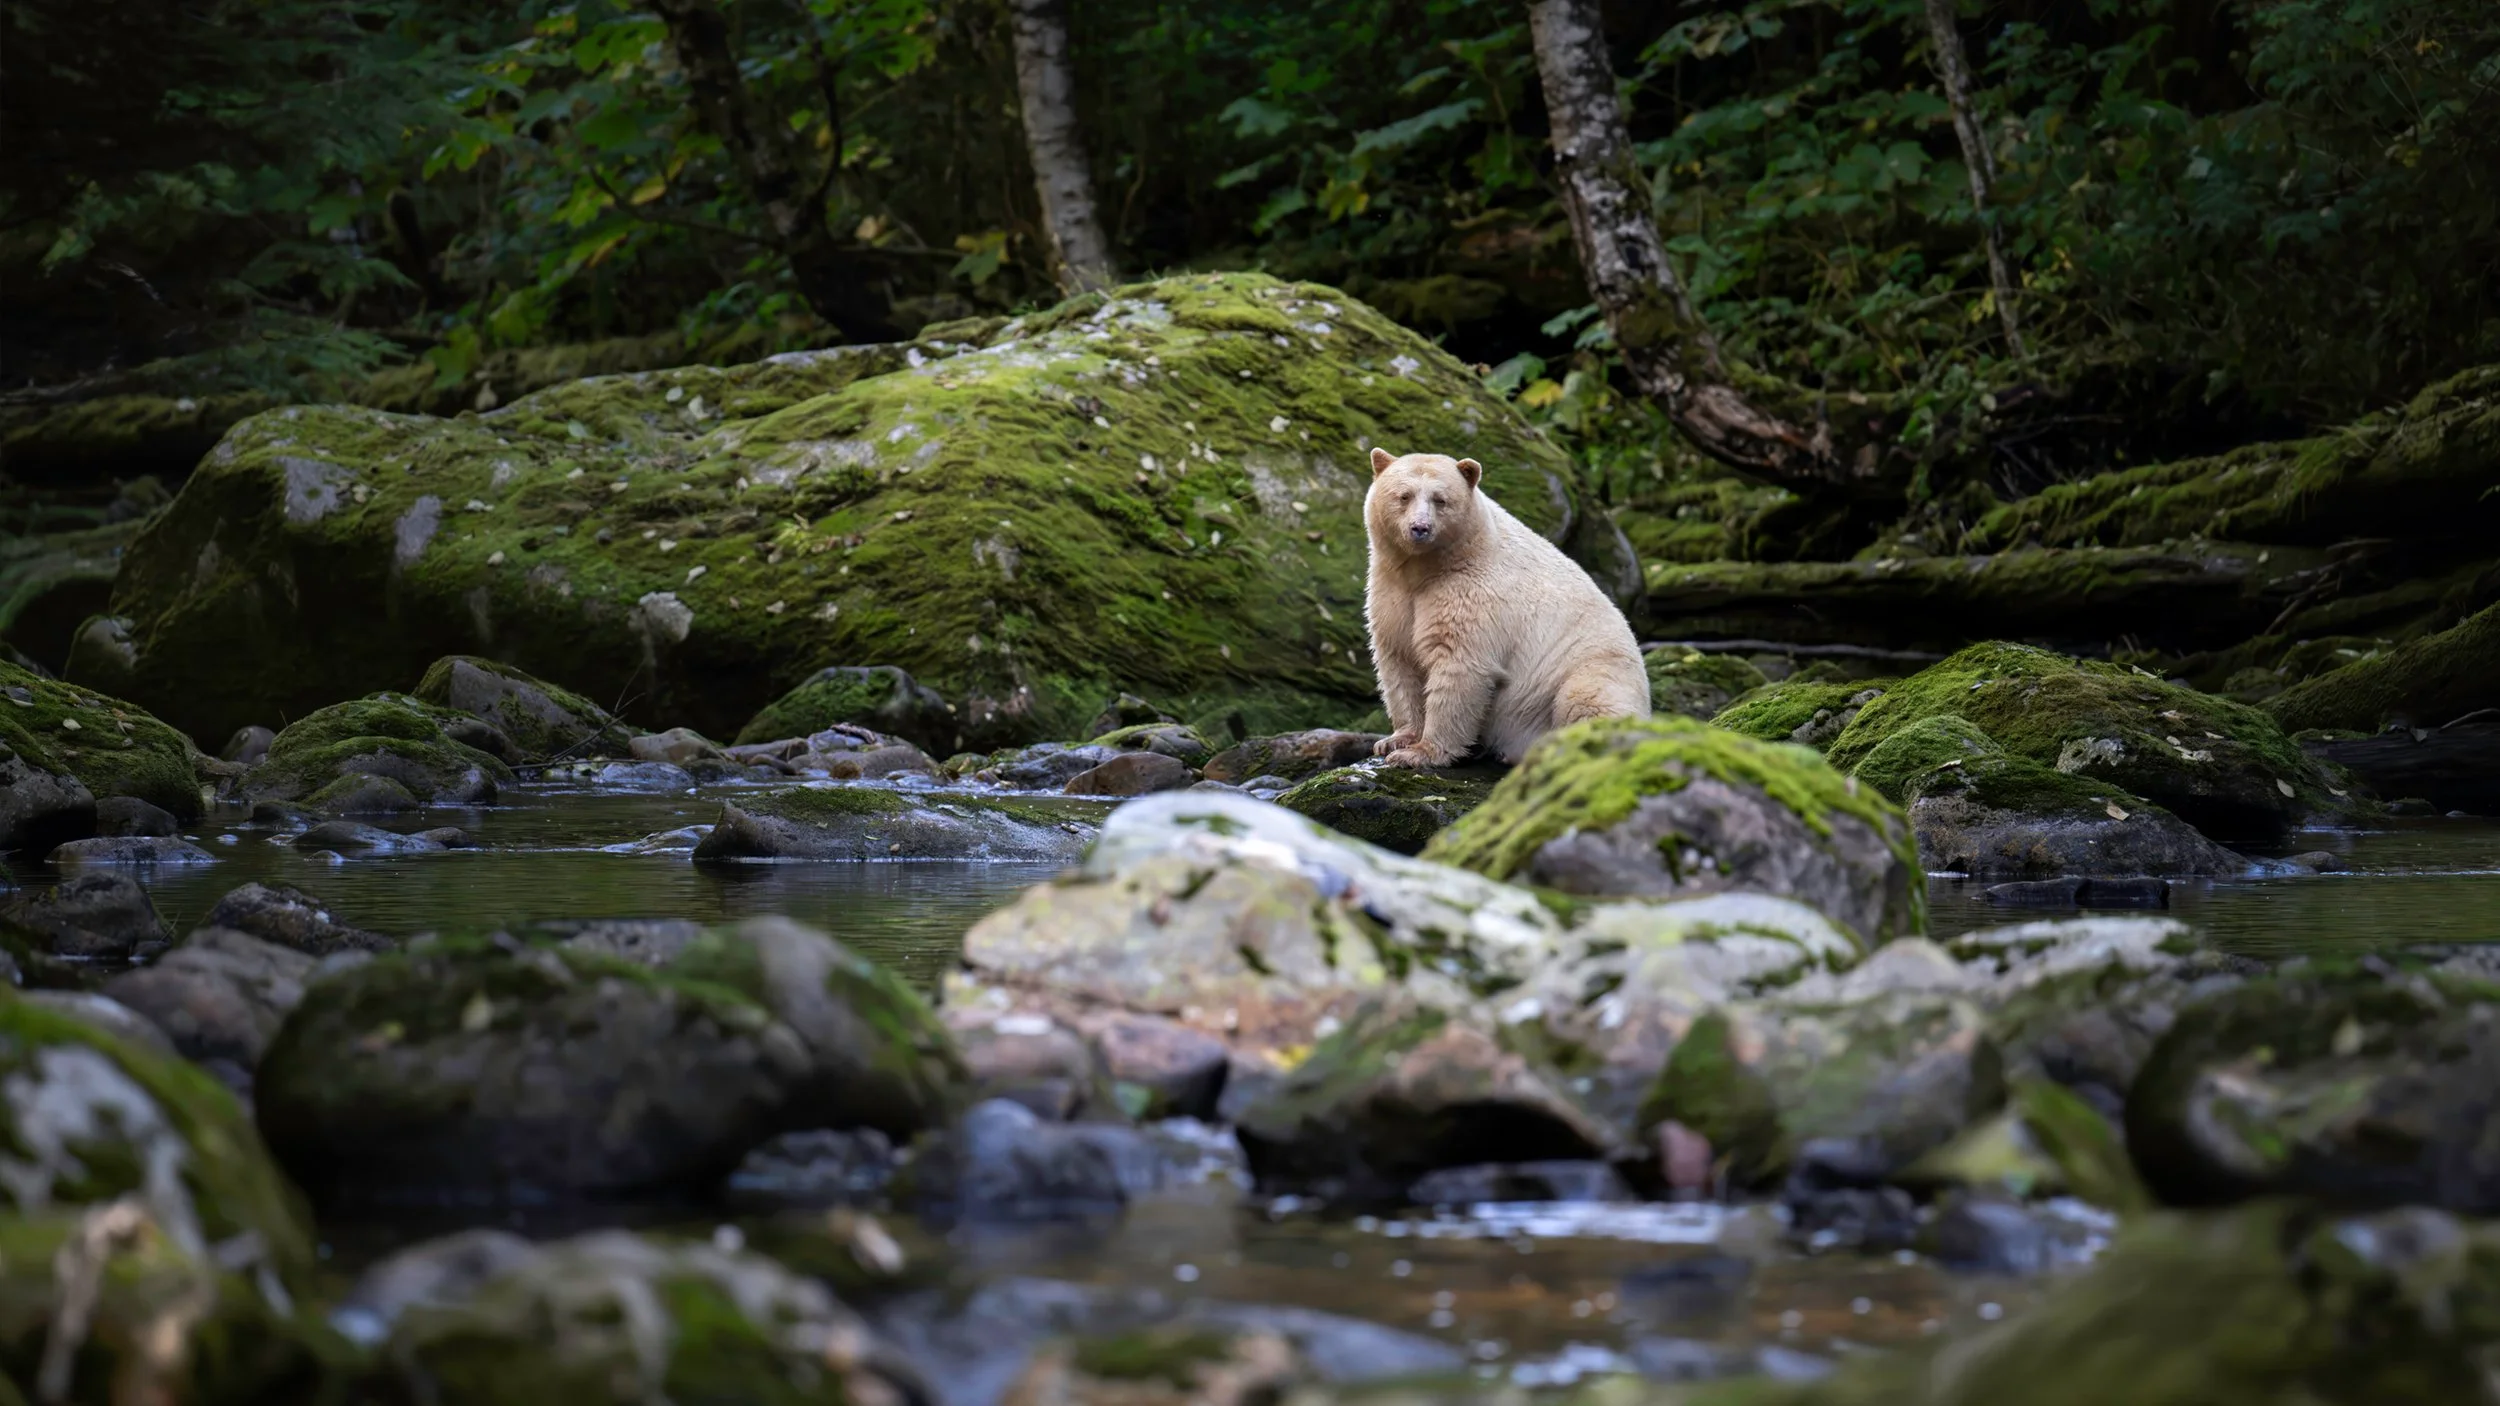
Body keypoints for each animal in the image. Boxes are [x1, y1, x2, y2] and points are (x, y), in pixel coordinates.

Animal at [1363, 447, 1649, 767]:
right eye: (1404, 496)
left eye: (1440, 499)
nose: (1420, 528)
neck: (1429, 567)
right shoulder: (1392, 592)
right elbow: (1399, 661)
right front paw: (1394, 740)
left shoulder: (1474, 593)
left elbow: (1459, 665)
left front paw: (1421, 752)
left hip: (1591, 667)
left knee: (1586, 700)